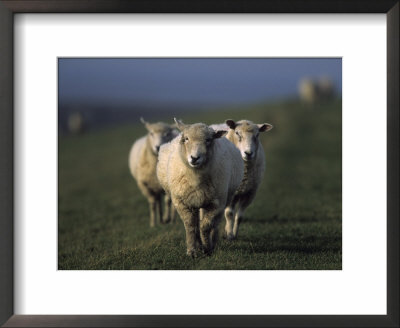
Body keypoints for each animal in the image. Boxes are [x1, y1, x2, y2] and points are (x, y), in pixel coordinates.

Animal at [156, 118, 244, 256]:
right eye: (186, 138)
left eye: (208, 140)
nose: (194, 158)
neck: (196, 177)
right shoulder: (182, 202)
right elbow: (191, 225)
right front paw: (192, 250)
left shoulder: (217, 204)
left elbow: (206, 226)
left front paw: (207, 247)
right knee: (197, 222)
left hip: (224, 198)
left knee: (215, 223)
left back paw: (213, 242)